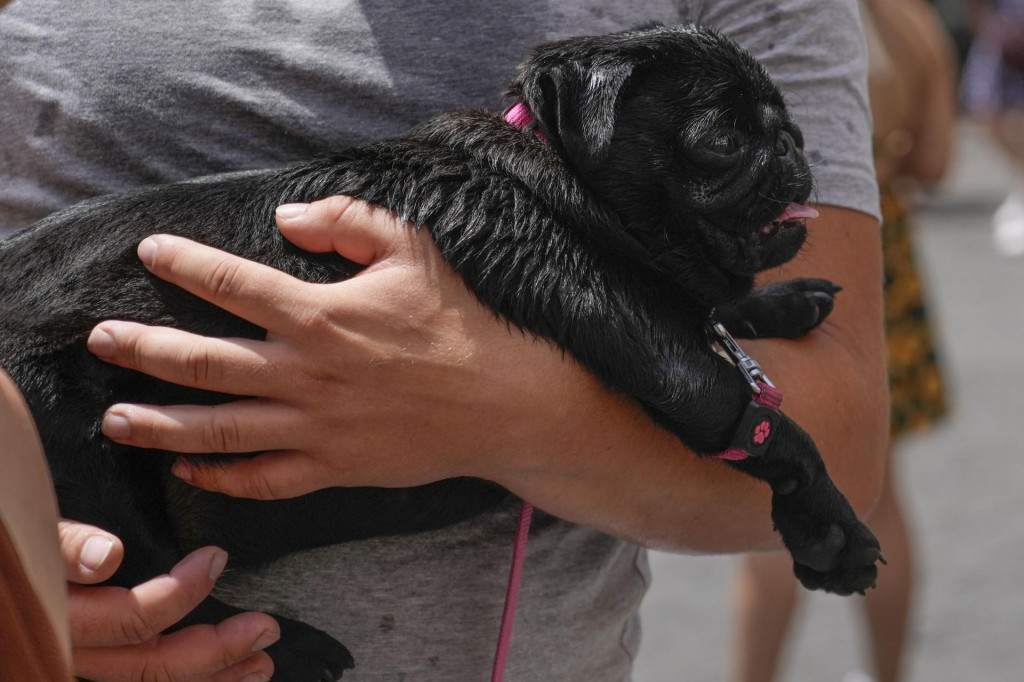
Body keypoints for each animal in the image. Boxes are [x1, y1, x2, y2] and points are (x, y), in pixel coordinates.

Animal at [0, 23, 880, 675]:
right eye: (725, 137)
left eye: (783, 120)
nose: (793, 141)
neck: (554, 179)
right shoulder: (653, 345)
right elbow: (763, 423)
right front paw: (830, 533)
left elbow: (721, 314)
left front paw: (781, 302)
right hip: (77, 450)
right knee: (154, 586)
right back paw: (285, 647)